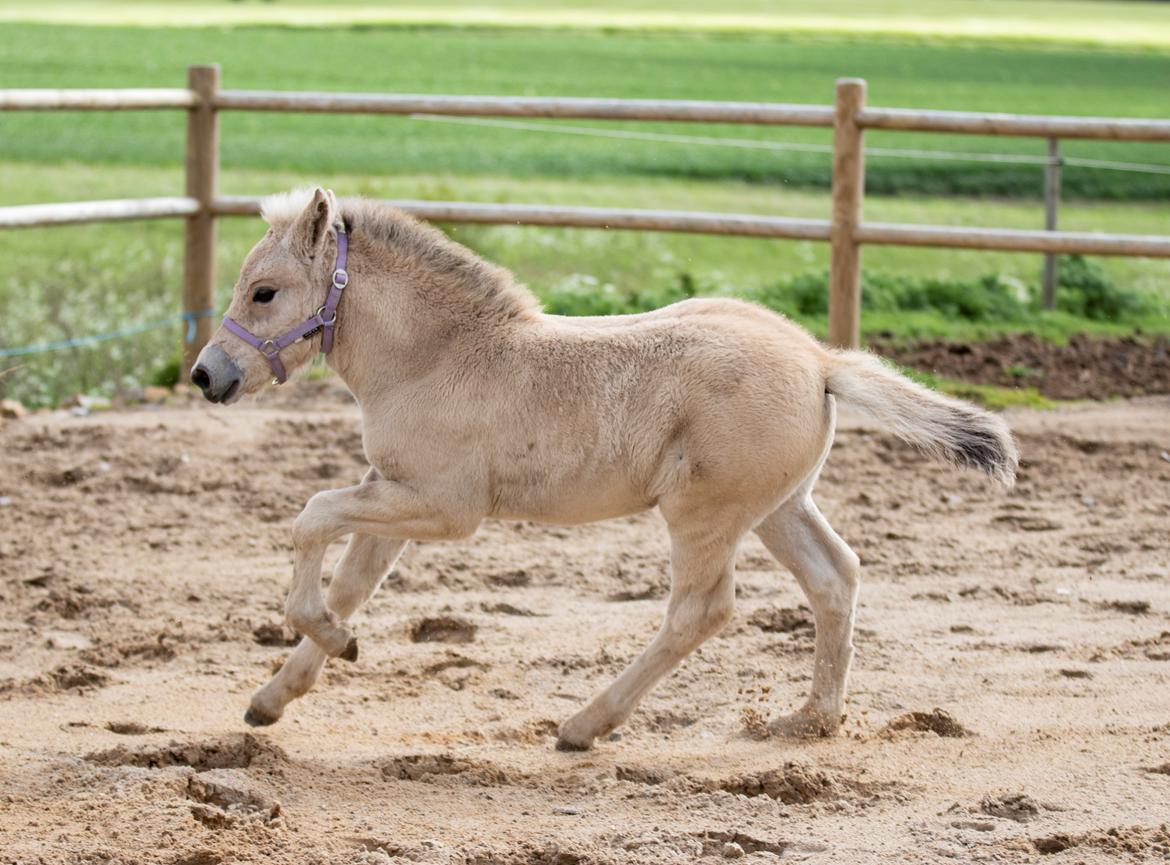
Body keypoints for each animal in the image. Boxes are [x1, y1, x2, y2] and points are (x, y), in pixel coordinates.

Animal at [191, 189, 1015, 749]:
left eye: (265, 292)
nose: (206, 376)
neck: (437, 358)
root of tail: (819, 361)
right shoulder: (391, 494)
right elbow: (351, 586)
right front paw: (280, 691)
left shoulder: (444, 507)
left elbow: (312, 517)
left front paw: (328, 644)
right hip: (780, 507)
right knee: (835, 577)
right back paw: (811, 719)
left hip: (704, 513)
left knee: (700, 610)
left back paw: (584, 724)